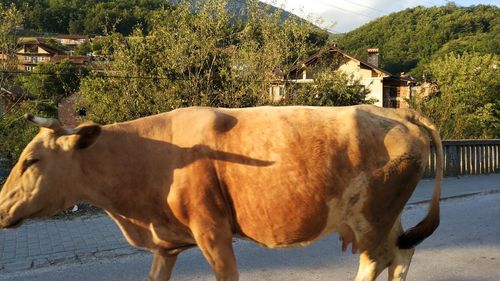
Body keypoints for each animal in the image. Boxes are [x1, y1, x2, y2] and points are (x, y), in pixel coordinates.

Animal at [0, 105, 442, 280]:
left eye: (32, 160)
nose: (1, 208)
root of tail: (396, 112)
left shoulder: (213, 232)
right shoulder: (166, 244)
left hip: (372, 216)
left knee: (376, 260)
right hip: (387, 217)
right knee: (401, 253)